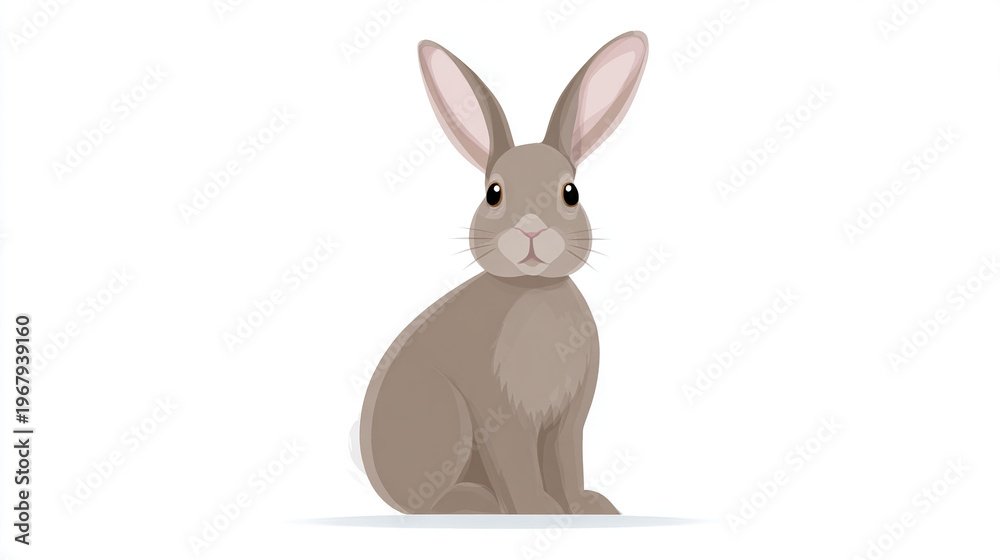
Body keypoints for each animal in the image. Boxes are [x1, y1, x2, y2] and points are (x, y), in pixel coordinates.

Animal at [361, 31, 648, 514]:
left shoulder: (568, 422)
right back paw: (475, 502)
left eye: (570, 193)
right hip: (445, 415)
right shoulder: (498, 413)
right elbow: (516, 464)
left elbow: (567, 461)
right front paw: (538, 509)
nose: (531, 230)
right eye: (493, 193)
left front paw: (585, 507)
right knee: (430, 502)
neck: (533, 289)